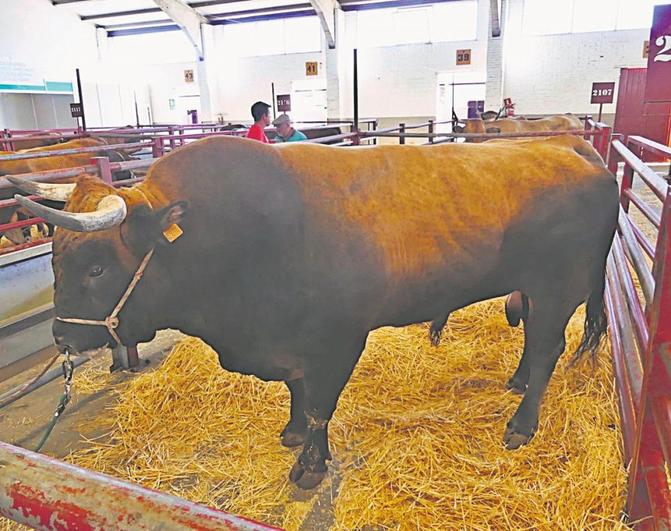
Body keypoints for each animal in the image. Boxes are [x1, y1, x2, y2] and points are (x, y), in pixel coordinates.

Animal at [11, 134, 620, 490]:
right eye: (54, 258)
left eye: (96, 268)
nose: (62, 338)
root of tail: (577, 154)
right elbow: (298, 394)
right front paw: (292, 432)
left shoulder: (337, 340)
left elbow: (321, 405)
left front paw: (309, 465)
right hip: (536, 289)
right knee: (533, 344)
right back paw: (515, 384)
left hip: (559, 287)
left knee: (548, 347)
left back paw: (521, 424)